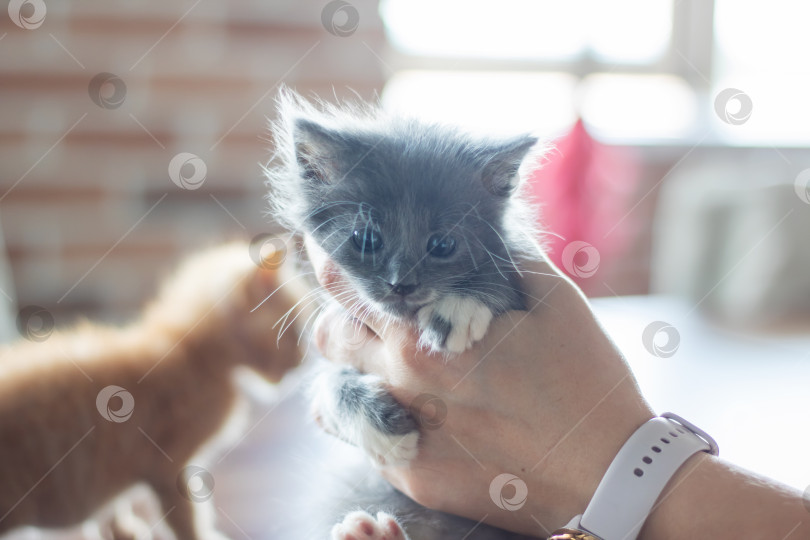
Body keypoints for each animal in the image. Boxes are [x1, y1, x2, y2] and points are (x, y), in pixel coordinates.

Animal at [266, 90, 536, 536]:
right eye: (365, 238)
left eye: (443, 245)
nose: (401, 284)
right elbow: (328, 382)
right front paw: (378, 426)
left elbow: (502, 283)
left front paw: (458, 306)